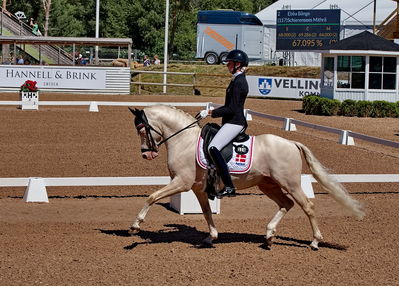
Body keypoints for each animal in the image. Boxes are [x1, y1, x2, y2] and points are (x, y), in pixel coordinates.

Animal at [129, 105, 366, 250]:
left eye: (141, 129)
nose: (146, 154)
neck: (184, 140)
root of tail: (291, 143)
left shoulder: (182, 182)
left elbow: (152, 197)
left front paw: (135, 226)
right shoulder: (197, 188)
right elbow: (206, 212)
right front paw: (211, 237)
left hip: (290, 183)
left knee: (307, 206)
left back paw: (315, 242)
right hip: (268, 185)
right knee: (286, 204)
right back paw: (269, 236)